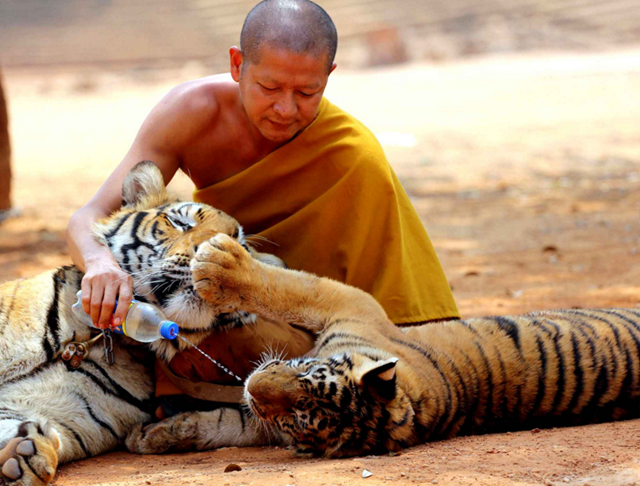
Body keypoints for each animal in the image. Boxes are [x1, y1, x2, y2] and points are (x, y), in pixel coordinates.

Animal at [0, 162, 310, 486]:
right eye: (180, 222)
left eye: (239, 246)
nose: (209, 252)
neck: (95, 337)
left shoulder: (72, 413)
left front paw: (22, 454)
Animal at [186, 234, 640, 458]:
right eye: (307, 373)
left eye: (296, 418)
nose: (251, 387)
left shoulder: (350, 304)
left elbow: (290, 287)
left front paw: (219, 265)